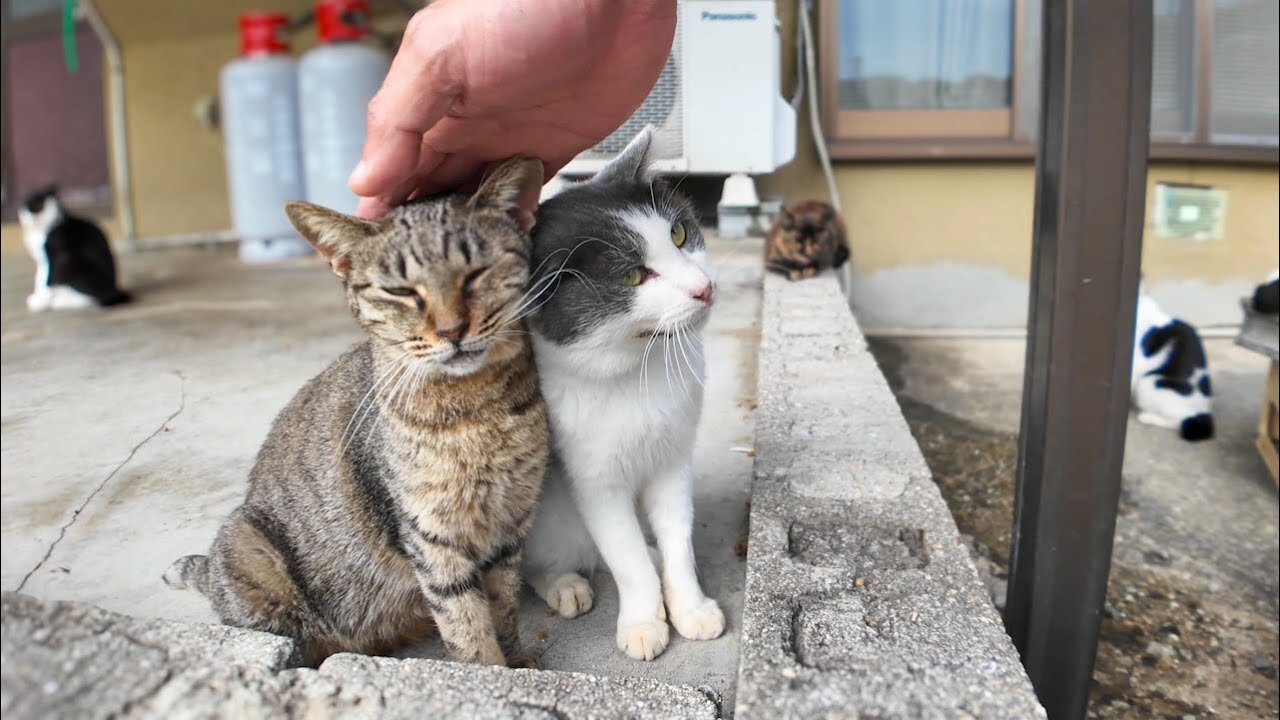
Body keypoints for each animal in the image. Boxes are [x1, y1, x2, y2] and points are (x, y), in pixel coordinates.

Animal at [162, 156, 547, 666]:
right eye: (402, 292)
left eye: (477, 273)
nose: (452, 330)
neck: (477, 409)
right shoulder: (430, 535)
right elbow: (466, 624)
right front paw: (489, 673)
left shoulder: (512, 522)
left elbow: (503, 605)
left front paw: (518, 662)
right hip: (253, 551)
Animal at [517, 126, 721, 661]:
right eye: (632, 275)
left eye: (679, 235)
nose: (704, 287)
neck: (634, 372)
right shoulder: (592, 480)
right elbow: (624, 555)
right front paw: (643, 621)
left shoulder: (673, 459)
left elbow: (677, 535)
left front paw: (689, 606)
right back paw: (563, 582)